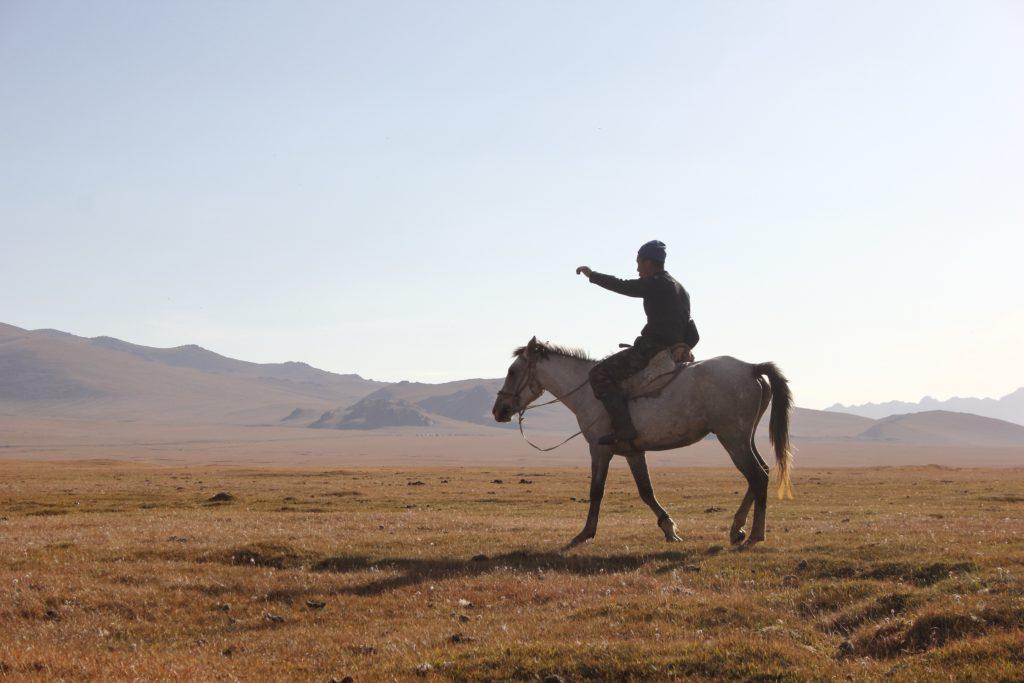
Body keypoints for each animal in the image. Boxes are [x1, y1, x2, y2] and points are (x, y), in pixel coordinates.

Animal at [492, 336, 793, 549]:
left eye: (512, 371)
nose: (499, 410)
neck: (588, 393)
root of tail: (751, 369)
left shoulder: (599, 449)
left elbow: (596, 491)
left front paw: (585, 533)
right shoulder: (633, 452)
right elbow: (646, 491)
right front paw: (669, 529)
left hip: (732, 438)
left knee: (757, 476)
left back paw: (755, 534)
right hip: (743, 438)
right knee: (762, 472)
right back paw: (737, 529)